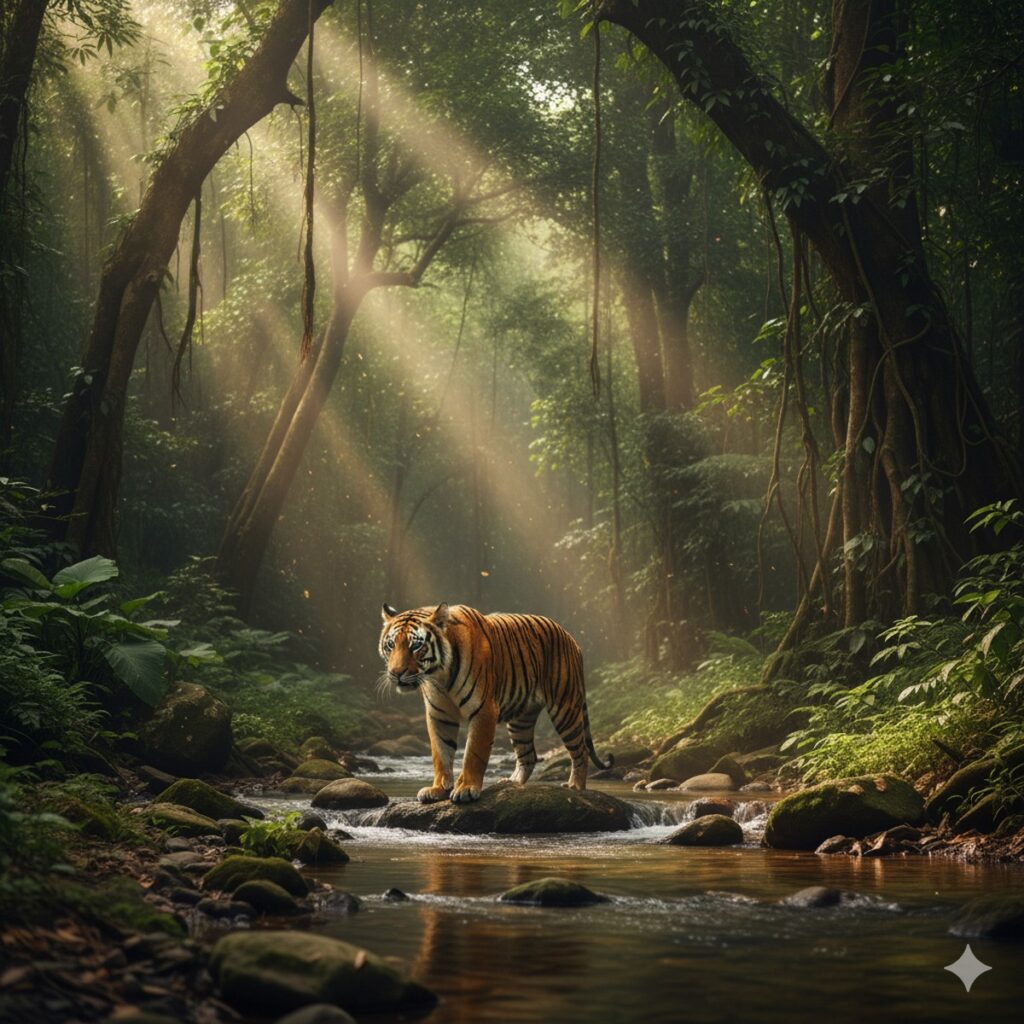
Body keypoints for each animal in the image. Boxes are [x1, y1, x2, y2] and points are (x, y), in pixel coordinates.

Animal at [378, 602, 612, 804]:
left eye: (416, 645)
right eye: (391, 645)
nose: (396, 673)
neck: (439, 676)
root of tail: (571, 638)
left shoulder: (483, 710)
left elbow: (473, 753)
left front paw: (466, 789)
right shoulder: (439, 715)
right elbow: (440, 754)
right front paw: (437, 790)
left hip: (564, 707)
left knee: (580, 750)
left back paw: (575, 786)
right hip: (520, 720)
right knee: (528, 755)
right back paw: (511, 784)